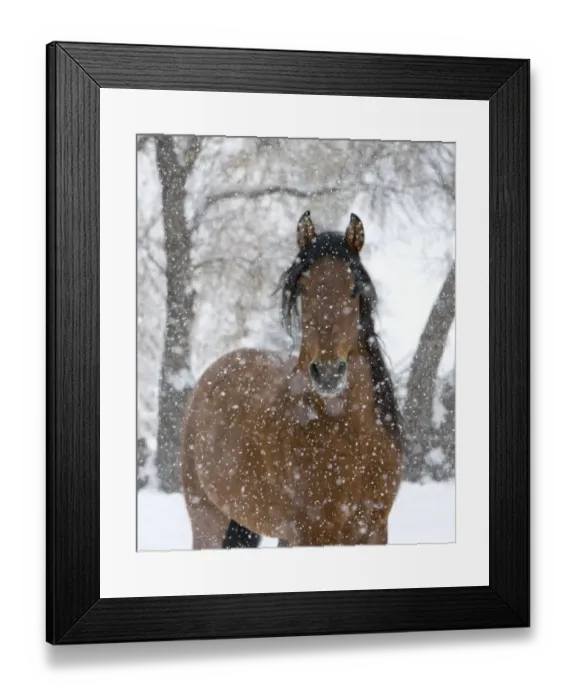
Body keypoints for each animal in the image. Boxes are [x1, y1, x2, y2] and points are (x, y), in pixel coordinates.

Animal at [180, 211, 404, 549]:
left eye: (354, 288)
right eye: (304, 289)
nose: (328, 372)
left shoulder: (374, 533)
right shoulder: (312, 535)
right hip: (208, 520)